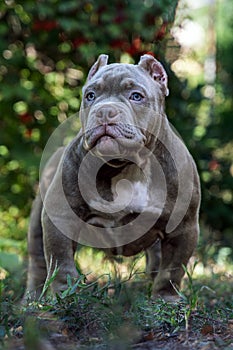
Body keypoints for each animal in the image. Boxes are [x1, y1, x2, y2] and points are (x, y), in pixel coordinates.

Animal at [25, 54, 200, 300]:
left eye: (136, 96)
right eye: (90, 95)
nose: (105, 111)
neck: (127, 165)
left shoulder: (183, 227)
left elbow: (172, 269)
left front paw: (166, 298)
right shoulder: (60, 215)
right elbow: (61, 262)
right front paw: (64, 295)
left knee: (157, 262)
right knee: (38, 262)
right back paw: (32, 300)